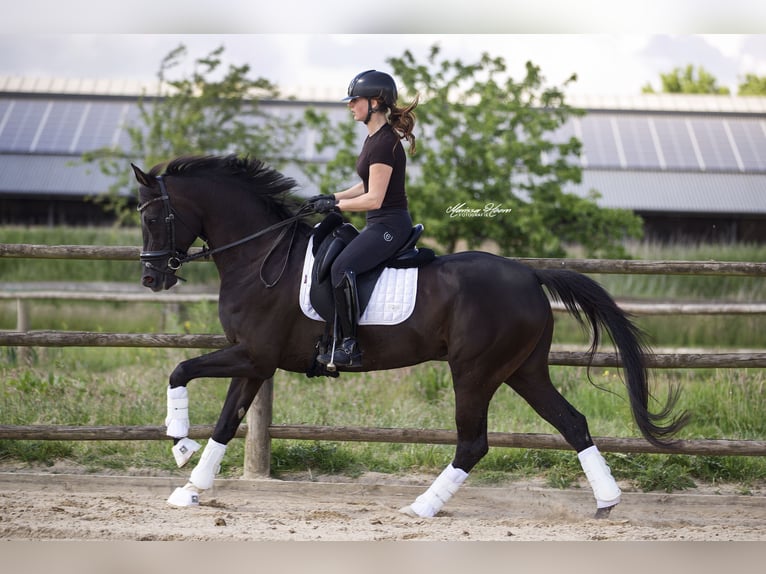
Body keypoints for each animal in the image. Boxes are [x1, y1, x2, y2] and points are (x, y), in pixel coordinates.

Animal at [132, 153, 687, 518]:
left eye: (156, 216)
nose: (152, 279)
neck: (261, 258)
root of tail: (531, 275)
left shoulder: (253, 355)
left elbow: (181, 370)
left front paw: (179, 444)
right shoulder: (254, 361)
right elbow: (226, 421)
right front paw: (189, 486)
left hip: (475, 371)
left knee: (473, 443)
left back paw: (422, 506)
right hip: (523, 370)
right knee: (572, 423)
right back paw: (607, 500)